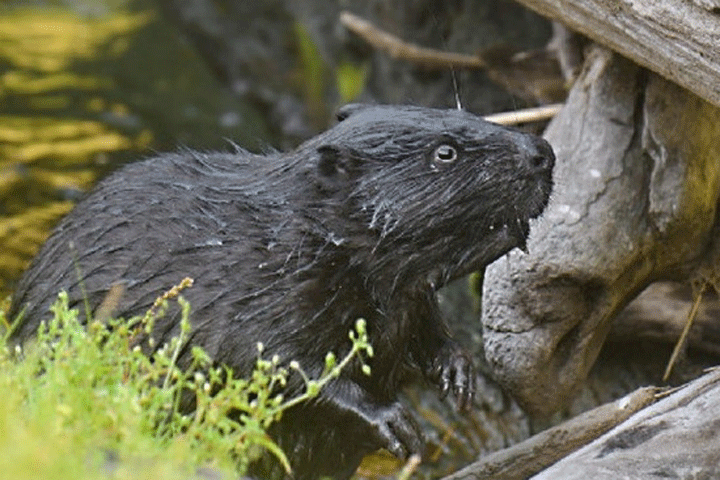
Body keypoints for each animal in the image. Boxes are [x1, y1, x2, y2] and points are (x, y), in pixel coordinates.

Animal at [8, 103, 556, 478]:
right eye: (445, 152)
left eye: (463, 111)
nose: (543, 153)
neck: (297, 232)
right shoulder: (253, 288)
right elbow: (271, 360)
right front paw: (395, 422)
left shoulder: (405, 298)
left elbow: (423, 327)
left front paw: (458, 375)